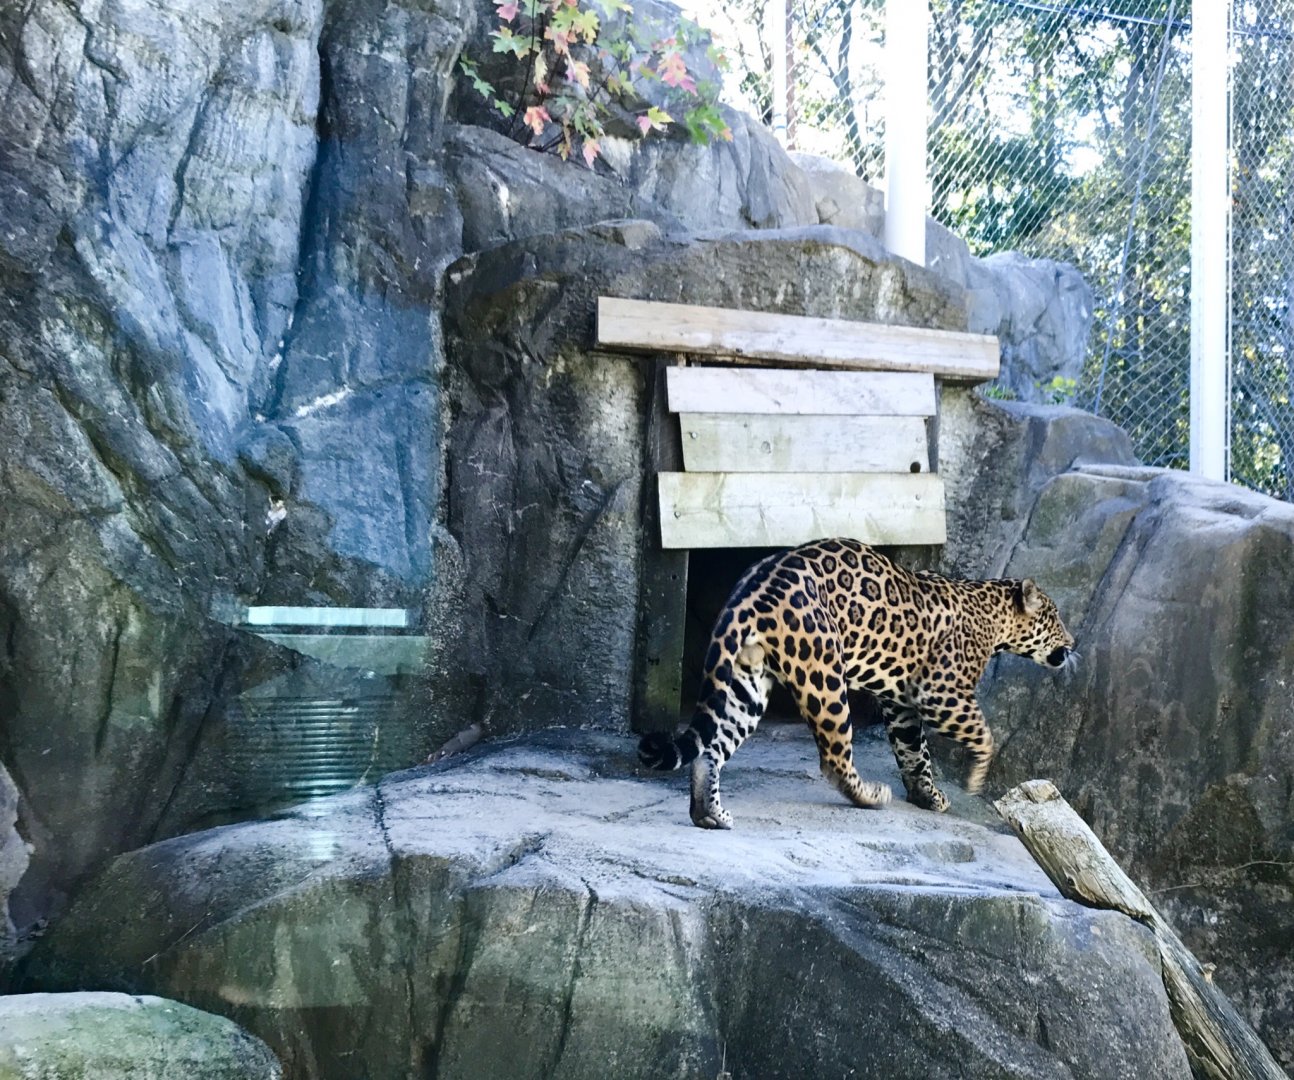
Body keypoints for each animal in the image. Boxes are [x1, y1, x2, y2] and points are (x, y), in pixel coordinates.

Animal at [638, 537, 1075, 829]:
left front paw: (927, 795)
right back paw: (870, 796)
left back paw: (709, 813)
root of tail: (752, 587)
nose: (1072, 644)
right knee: (833, 761)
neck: (994, 616)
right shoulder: (940, 693)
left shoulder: (903, 704)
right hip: (825, 677)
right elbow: (984, 734)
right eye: (1054, 617)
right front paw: (974, 777)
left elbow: (915, 752)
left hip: (747, 682)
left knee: (711, 749)